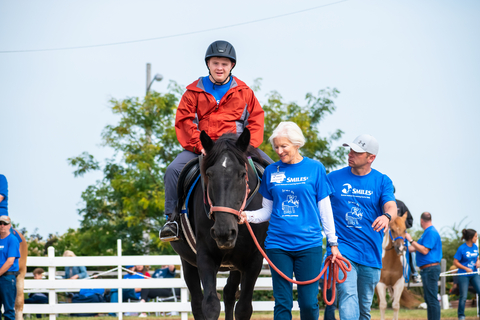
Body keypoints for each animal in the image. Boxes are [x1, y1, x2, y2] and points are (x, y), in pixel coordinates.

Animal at [172, 129, 270, 320]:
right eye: (209, 174)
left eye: (242, 174)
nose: (223, 232)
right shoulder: (205, 256)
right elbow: (210, 305)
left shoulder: (254, 260)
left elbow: (244, 308)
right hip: (188, 262)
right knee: (197, 302)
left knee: (229, 292)